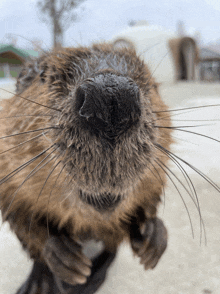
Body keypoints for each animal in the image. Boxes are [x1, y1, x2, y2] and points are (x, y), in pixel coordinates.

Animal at [0, 43, 172, 294]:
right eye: (43, 74)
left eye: (151, 83)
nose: (111, 96)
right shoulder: (7, 174)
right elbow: (20, 215)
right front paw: (65, 258)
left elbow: (148, 201)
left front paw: (153, 238)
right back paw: (46, 283)